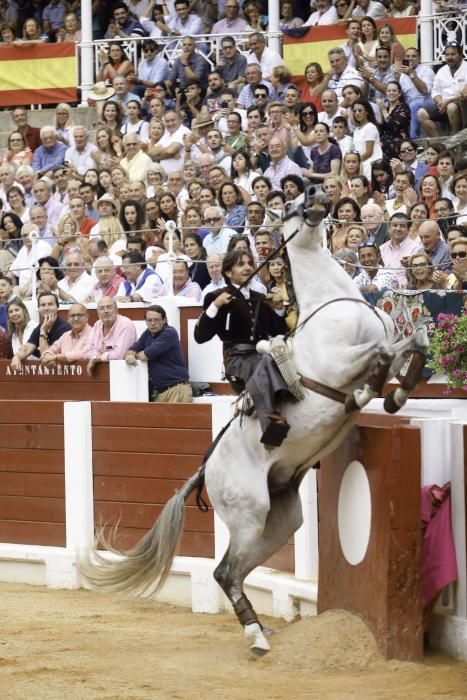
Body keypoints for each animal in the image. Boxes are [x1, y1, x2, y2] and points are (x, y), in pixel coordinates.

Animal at [79, 187, 428, 656]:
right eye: (294, 205)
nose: (317, 192)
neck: (332, 300)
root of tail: (206, 470)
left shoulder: (384, 338)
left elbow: (414, 340)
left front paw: (397, 391)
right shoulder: (341, 363)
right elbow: (383, 354)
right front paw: (369, 392)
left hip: (280, 519)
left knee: (240, 569)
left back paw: (261, 628)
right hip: (248, 512)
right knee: (224, 571)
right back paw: (255, 635)